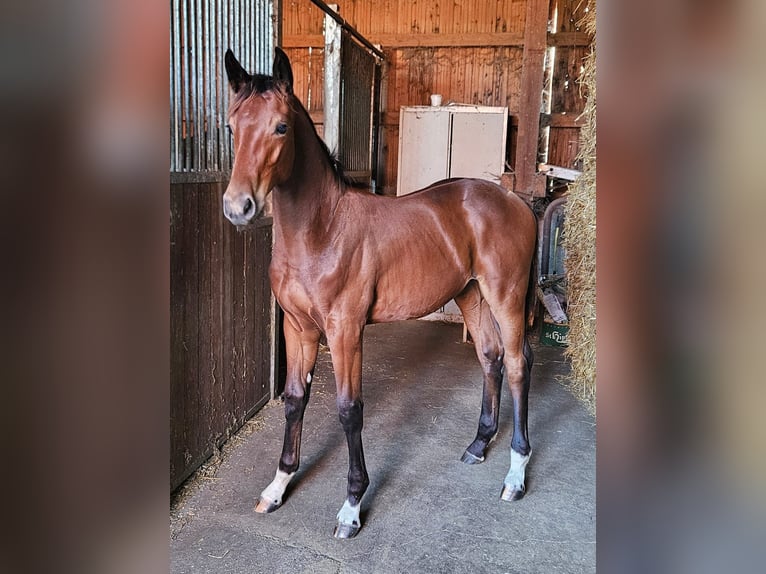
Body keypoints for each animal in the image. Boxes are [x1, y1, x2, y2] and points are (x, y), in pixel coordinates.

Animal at [222, 47, 538, 539]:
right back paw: (478, 444)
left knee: (520, 364)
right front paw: (278, 486)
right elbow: (294, 400)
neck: (321, 230)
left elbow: (350, 409)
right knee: (491, 358)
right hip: (471, 295)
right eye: (231, 127)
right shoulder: (299, 328)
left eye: (281, 127)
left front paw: (352, 506)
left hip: (505, 295)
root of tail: (515, 199)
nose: (238, 208)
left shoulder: (345, 331)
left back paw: (516, 476)